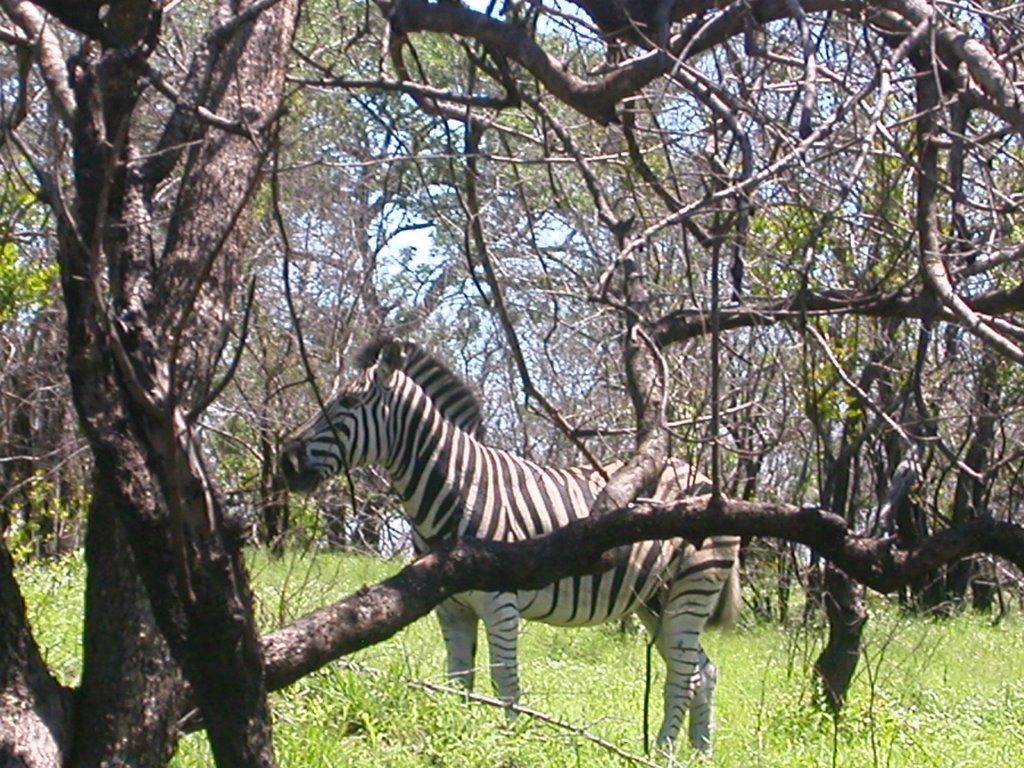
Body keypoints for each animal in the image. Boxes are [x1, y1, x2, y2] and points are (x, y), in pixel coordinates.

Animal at [280, 339, 741, 753]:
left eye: (348, 402)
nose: (286, 461)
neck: (455, 489)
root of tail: (707, 479)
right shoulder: (450, 606)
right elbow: (458, 679)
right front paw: (459, 735)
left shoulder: (500, 602)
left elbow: (505, 682)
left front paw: (510, 741)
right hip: (654, 602)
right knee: (703, 671)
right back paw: (700, 752)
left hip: (689, 591)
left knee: (682, 676)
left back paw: (662, 753)